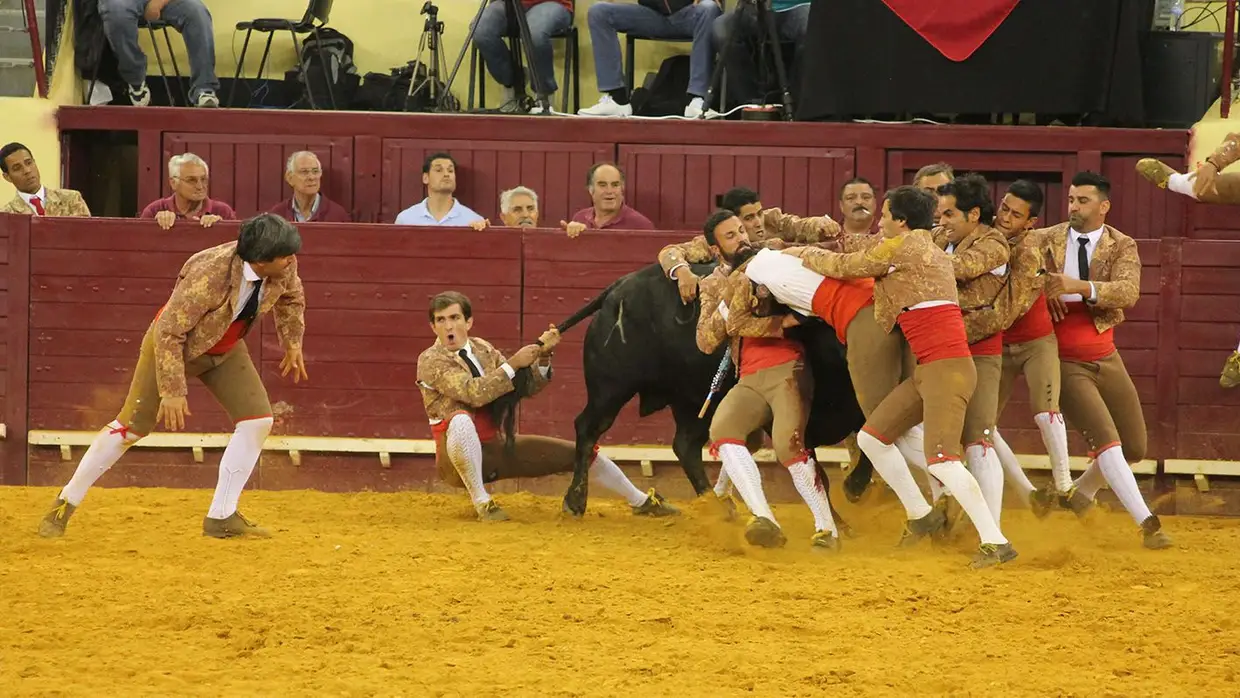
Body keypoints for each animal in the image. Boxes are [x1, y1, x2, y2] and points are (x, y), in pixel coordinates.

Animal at [491, 262, 872, 513]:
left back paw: (719, 506)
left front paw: (852, 491)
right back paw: (575, 501)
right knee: (588, 428)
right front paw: (845, 507)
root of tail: (616, 289)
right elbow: (818, 467)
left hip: (692, 400)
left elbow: (866, 443)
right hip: (612, 388)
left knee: (684, 445)